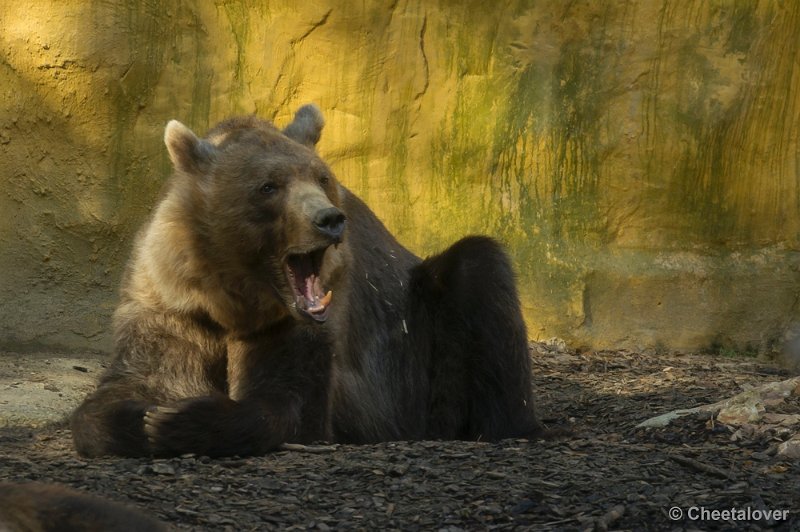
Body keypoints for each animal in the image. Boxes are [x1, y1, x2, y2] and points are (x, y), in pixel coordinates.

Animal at [72, 104, 544, 458]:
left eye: (322, 177)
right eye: (269, 186)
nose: (329, 219)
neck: (231, 297)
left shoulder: (305, 323)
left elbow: (288, 401)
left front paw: (181, 419)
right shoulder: (171, 305)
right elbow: (131, 384)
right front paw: (142, 417)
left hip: (420, 340)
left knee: (479, 271)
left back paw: (504, 425)